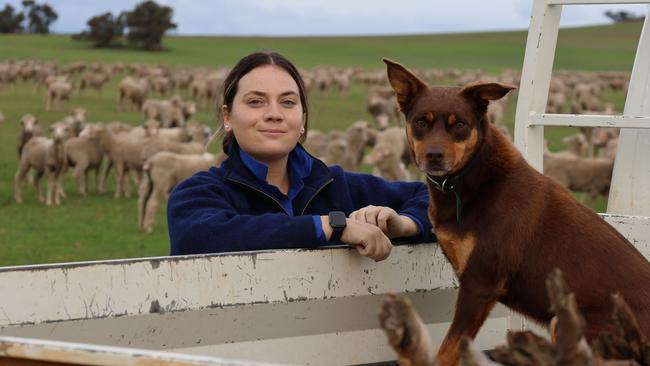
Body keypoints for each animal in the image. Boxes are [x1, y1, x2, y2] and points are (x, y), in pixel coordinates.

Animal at [380, 58, 650, 364]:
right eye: (420, 122)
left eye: (459, 124)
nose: (434, 156)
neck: (469, 177)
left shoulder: (480, 284)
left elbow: (448, 349)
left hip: (570, 322)